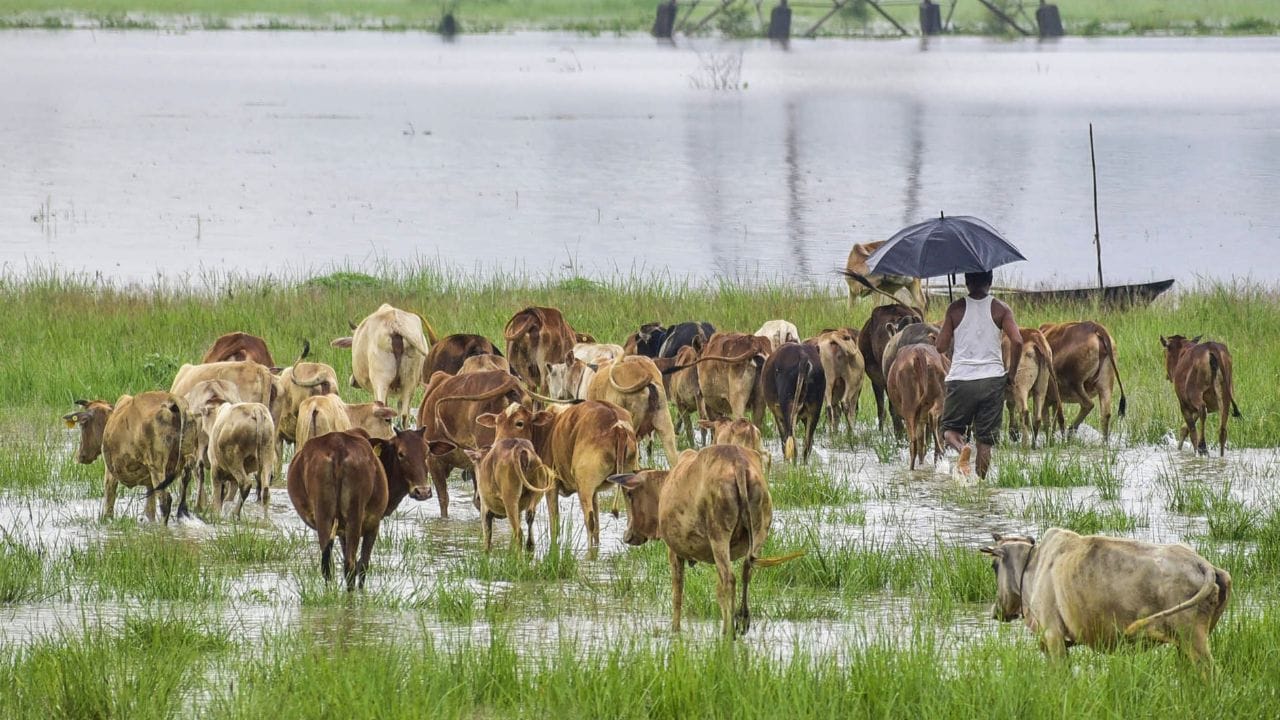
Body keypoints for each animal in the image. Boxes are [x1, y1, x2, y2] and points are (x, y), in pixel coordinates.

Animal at [62, 393, 197, 524]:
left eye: (82, 425)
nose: (80, 456)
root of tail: (171, 402)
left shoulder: (110, 473)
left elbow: (108, 507)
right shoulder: (149, 483)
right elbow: (150, 511)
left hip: (157, 468)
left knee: (165, 501)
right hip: (187, 460)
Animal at [607, 444, 799, 638]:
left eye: (630, 495)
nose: (627, 536)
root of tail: (737, 462)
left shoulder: (674, 552)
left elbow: (677, 594)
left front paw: (675, 630)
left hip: (718, 535)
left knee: (729, 580)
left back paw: (729, 631)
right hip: (760, 531)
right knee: (746, 571)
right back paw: (742, 619)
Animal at [982, 529, 1231, 664]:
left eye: (994, 566)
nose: (995, 610)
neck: (1033, 567)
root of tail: (1203, 564)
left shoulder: (1053, 635)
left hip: (1192, 638)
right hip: (1189, 639)